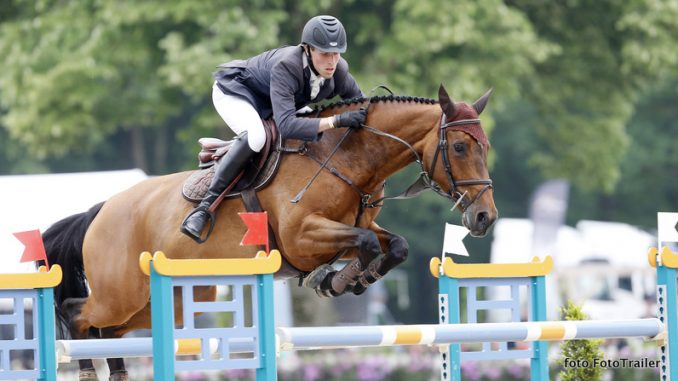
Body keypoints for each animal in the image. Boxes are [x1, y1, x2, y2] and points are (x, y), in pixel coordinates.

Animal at [42, 84, 500, 380]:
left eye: (486, 147)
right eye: (460, 147)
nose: (485, 218)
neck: (347, 158)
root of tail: (100, 211)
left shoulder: (355, 225)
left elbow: (395, 246)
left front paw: (350, 278)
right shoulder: (302, 236)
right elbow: (367, 245)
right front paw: (334, 281)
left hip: (172, 300)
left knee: (110, 333)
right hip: (121, 293)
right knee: (78, 316)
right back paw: (86, 370)